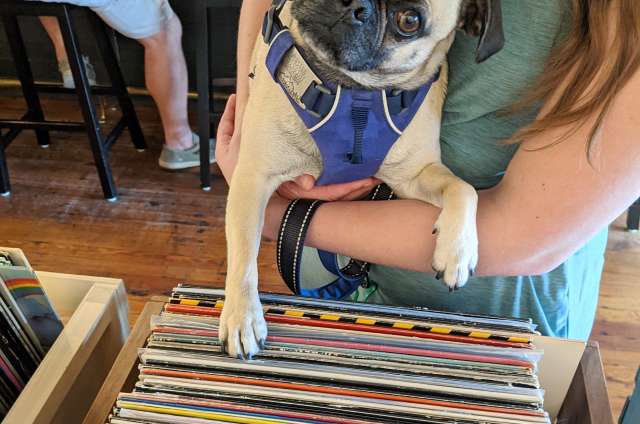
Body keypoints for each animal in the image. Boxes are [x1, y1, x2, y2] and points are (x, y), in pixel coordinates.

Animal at [220, 0, 504, 358]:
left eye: (409, 21)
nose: (356, 6)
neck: (354, 93)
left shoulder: (414, 175)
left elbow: (464, 188)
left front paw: (458, 251)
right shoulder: (253, 178)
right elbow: (244, 257)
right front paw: (242, 317)